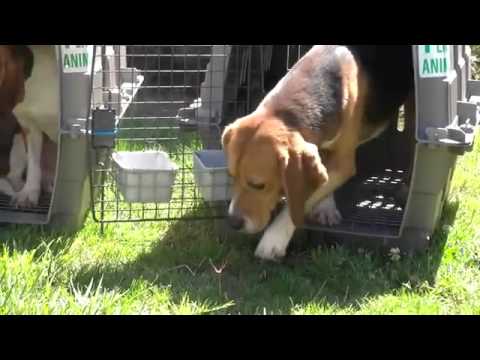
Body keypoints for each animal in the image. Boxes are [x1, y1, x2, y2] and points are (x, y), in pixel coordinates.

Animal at [223, 45, 414, 262]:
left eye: (258, 185)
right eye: (231, 176)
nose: (233, 223)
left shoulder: (343, 164)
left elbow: (302, 200)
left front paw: (273, 239)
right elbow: (323, 180)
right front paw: (326, 207)